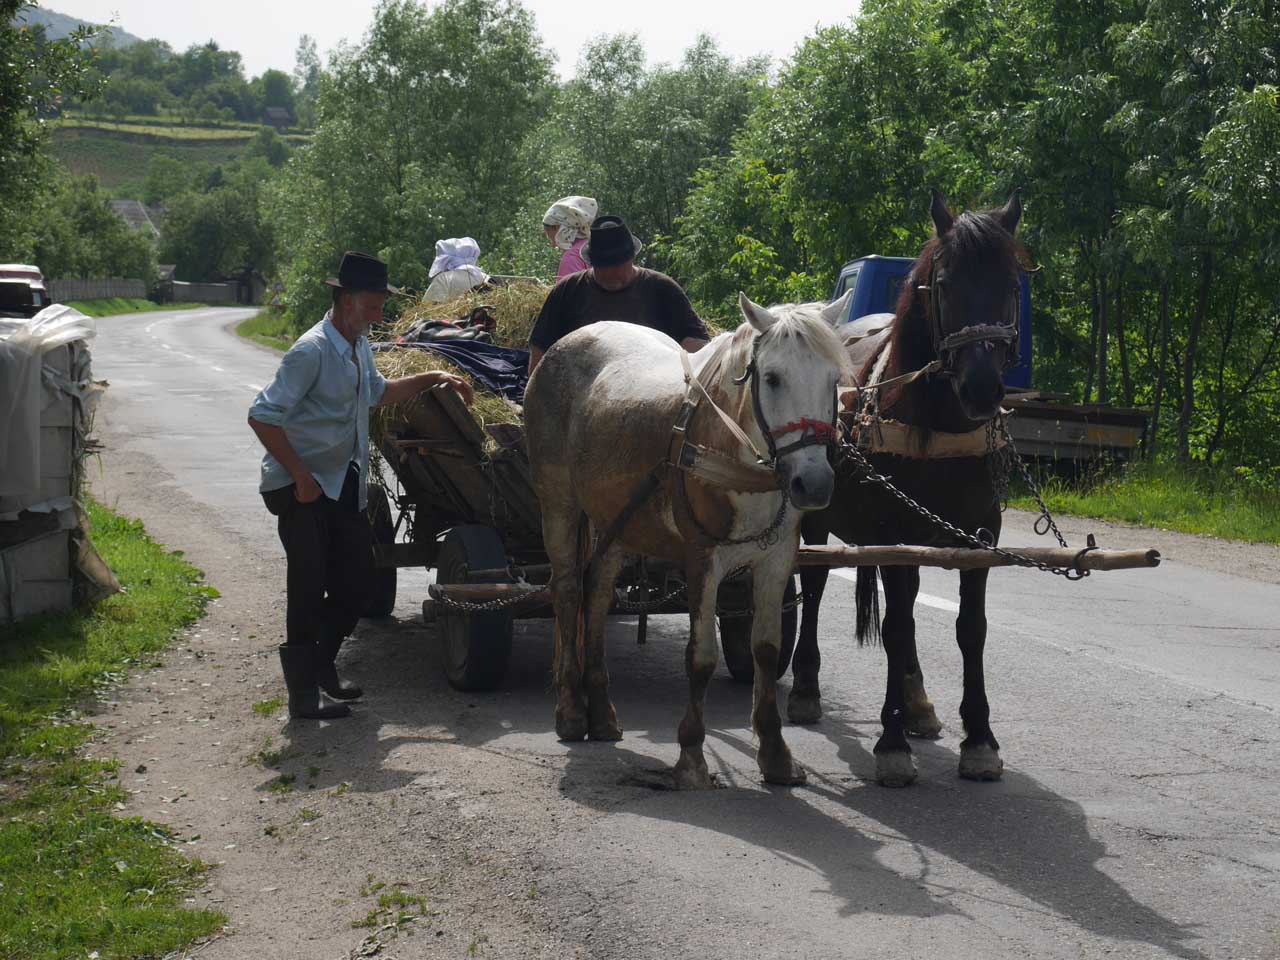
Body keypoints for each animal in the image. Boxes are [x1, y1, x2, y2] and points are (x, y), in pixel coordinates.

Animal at [519, 295, 849, 788]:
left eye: (833, 381)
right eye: (772, 378)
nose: (813, 483)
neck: (732, 449)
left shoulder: (776, 559)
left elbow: (766, 650)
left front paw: (775, 754)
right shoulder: (702, 559)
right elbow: (701, 656)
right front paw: (691, 754)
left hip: (616, 516)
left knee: (597, 594)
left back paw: (602, 711)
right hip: (558, 503)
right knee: (567, 592)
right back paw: (572, 710)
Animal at [788, 189, 1029, 788]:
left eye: (1012, 286)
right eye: (944, 284)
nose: (982, 388)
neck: (939, 425)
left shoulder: (977, 537)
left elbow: (970, 629)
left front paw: (980, 738)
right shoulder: (892, 534)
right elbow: (895, 628)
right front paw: (891, 742)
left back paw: (918, 703)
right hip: (818, 516)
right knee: (816, 582)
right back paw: (805, 687)